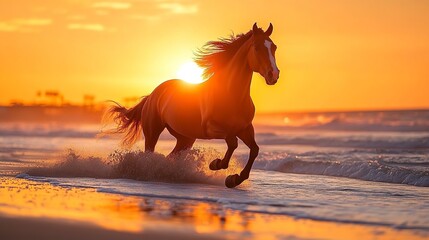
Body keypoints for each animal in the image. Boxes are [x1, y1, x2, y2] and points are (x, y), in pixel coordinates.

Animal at [106, 23, 280, 188]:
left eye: (274, 47)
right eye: (257, 47)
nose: (274, 75)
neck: (230, 95)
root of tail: (153, 94)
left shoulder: (244, 128)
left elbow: (254, 150)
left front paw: (234, 179)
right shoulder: (215, 129)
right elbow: (233, 143)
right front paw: (216, 164)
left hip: (185, 138)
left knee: (171, 156)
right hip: (153, 132)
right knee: (149, 153)